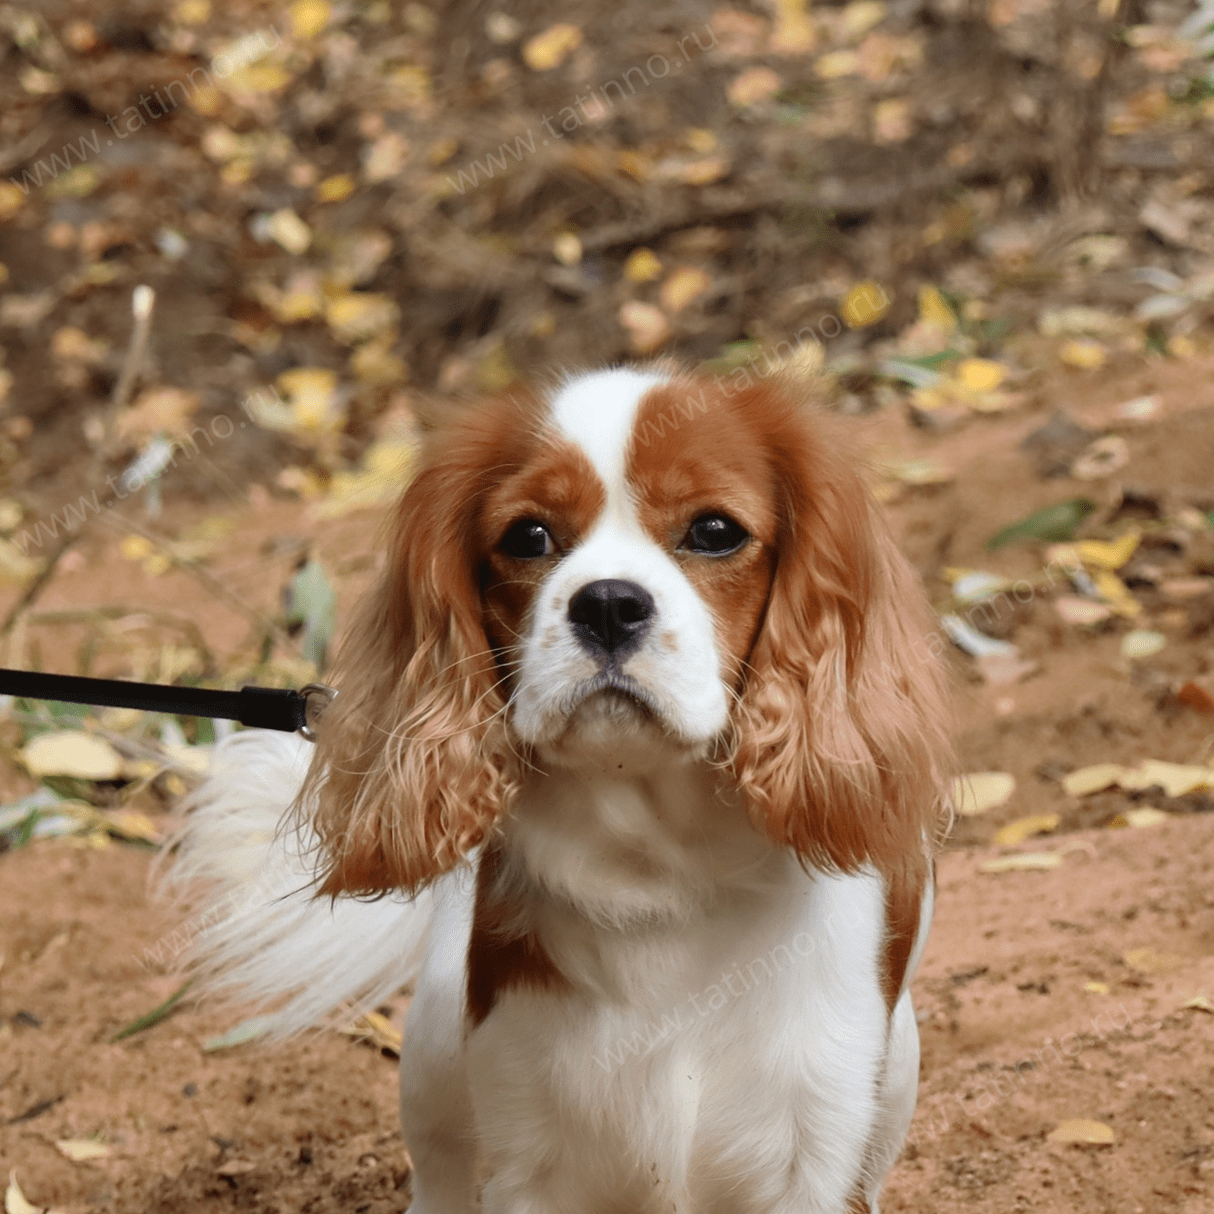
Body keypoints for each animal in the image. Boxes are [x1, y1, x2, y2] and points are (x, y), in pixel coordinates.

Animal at [173, 364, 946, 1209]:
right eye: (528, 537)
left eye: (715, 531)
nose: (607, 602)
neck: (665, 867)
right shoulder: (531, 1147)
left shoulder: (812, 1152)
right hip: (437, 1052)